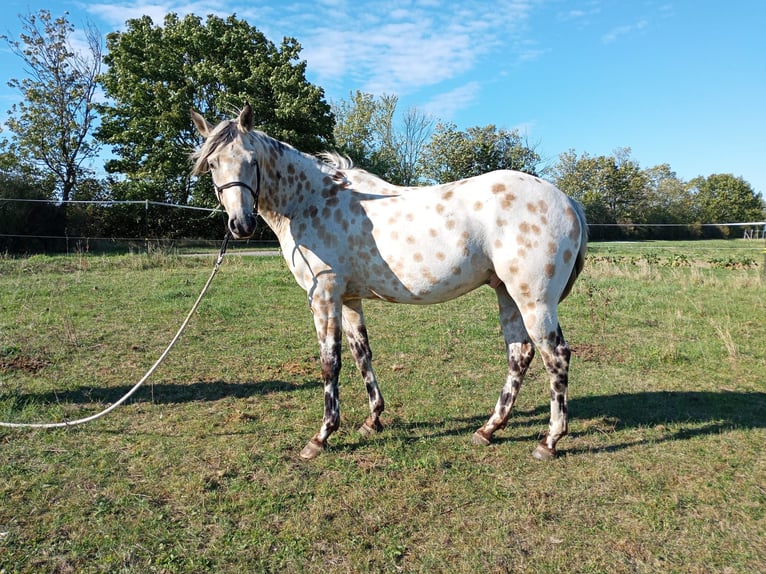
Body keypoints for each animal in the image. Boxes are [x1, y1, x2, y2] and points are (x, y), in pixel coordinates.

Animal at [190, 104, 588, 464]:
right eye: (213, 164)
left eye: (251, 160)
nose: (240, 225)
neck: (310, 201)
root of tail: (567, 200)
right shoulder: (349, 299)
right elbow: (361, 354)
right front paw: (373, 420)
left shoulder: (324, 296)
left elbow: (329, 363)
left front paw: (321, 437)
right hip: (507, 294)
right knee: (519, 354)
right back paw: (489, 429)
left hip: (534, 300)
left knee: (556, 356)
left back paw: (549, 441)